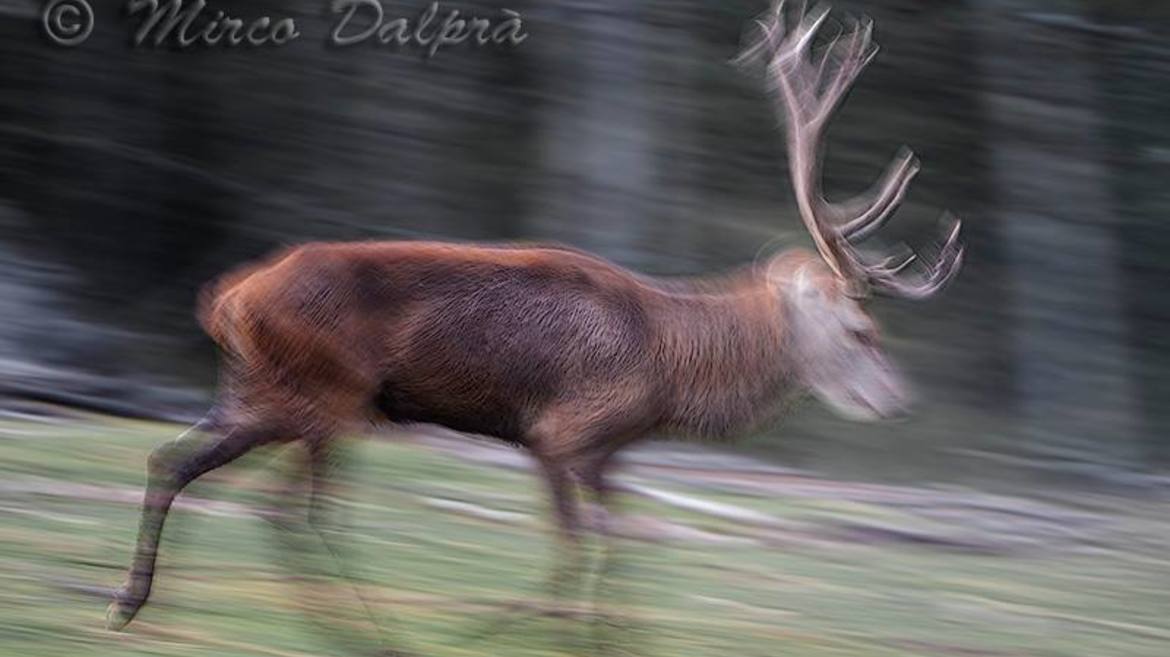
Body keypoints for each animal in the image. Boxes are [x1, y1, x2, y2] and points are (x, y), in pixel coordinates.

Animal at [105, 0, 959, 635]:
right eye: (861, 332)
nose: (899, 400)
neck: (670, 370)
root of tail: (226, 297)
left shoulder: (608, 451)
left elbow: (619, 550)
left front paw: (598, 633)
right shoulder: (562, 429)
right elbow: (581, 546)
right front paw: (513, 625)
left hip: (262, 389)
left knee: (172, 461)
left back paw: (135, 603)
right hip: (328, 394)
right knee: (290, 508)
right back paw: (368, 630)